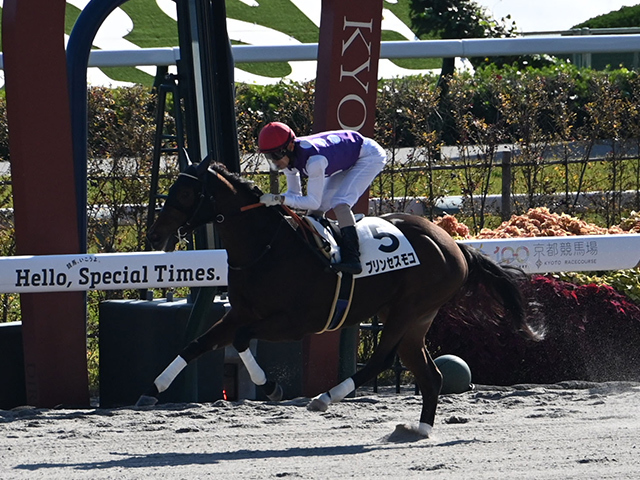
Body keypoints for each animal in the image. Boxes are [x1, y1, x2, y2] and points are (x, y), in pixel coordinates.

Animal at [141, 160, 540, 437]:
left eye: (186, 194)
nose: (155, 234)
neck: (266, 248)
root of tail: (454, 245)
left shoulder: (296, 323)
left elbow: (240, 341)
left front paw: (271, 386)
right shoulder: (241, 313)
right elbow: (195, 345)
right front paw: (153, 389)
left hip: (409, 308)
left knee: (381, 360)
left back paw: (326, 398)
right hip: (417, 319)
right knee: (432, 375)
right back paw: (420, 429)